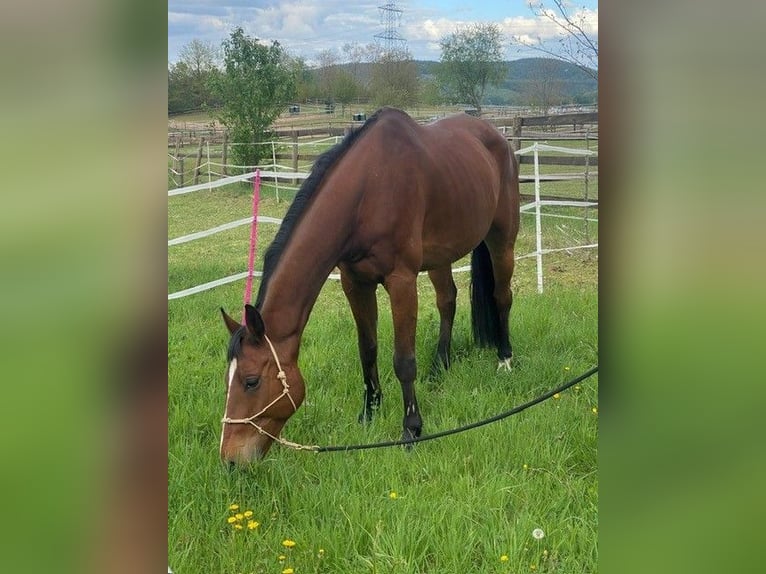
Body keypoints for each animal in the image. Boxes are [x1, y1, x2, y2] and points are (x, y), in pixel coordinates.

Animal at [219, 107, 520, 464]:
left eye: (251, 382)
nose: (230, 460)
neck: (367, 191)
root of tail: (497, 136)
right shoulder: (355, 282)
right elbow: (368, 349)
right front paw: (369, 412)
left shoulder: (401, 281)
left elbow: (403, 360)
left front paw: (411, 430)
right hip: (441, 255)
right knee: (448, 300)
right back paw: (440, 366)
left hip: (502, 239)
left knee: (502, 297)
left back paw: (504, 360)